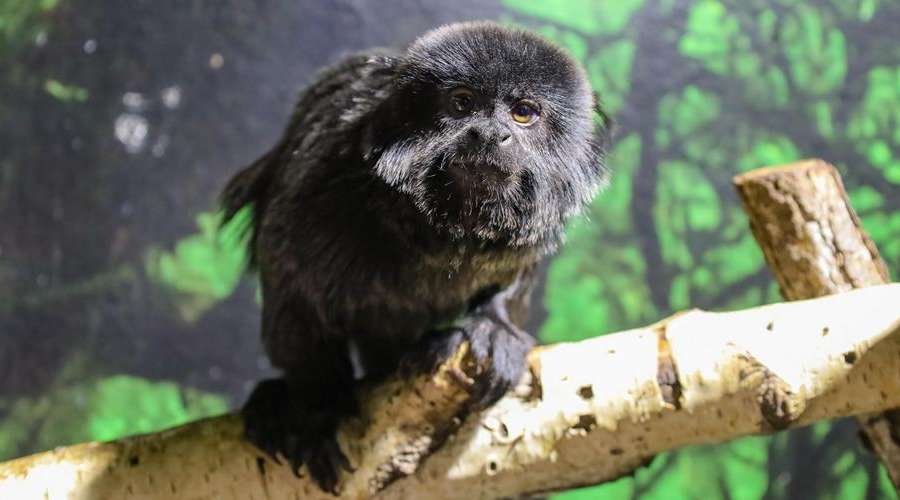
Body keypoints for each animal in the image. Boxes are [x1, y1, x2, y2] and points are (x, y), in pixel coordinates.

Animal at [220, 21, 611, 493]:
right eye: (462, 103)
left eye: (523, 113)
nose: (488, 133)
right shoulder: (318, 174)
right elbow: (292, 290)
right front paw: (317, 410)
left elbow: (511, 283)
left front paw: (494, 327)